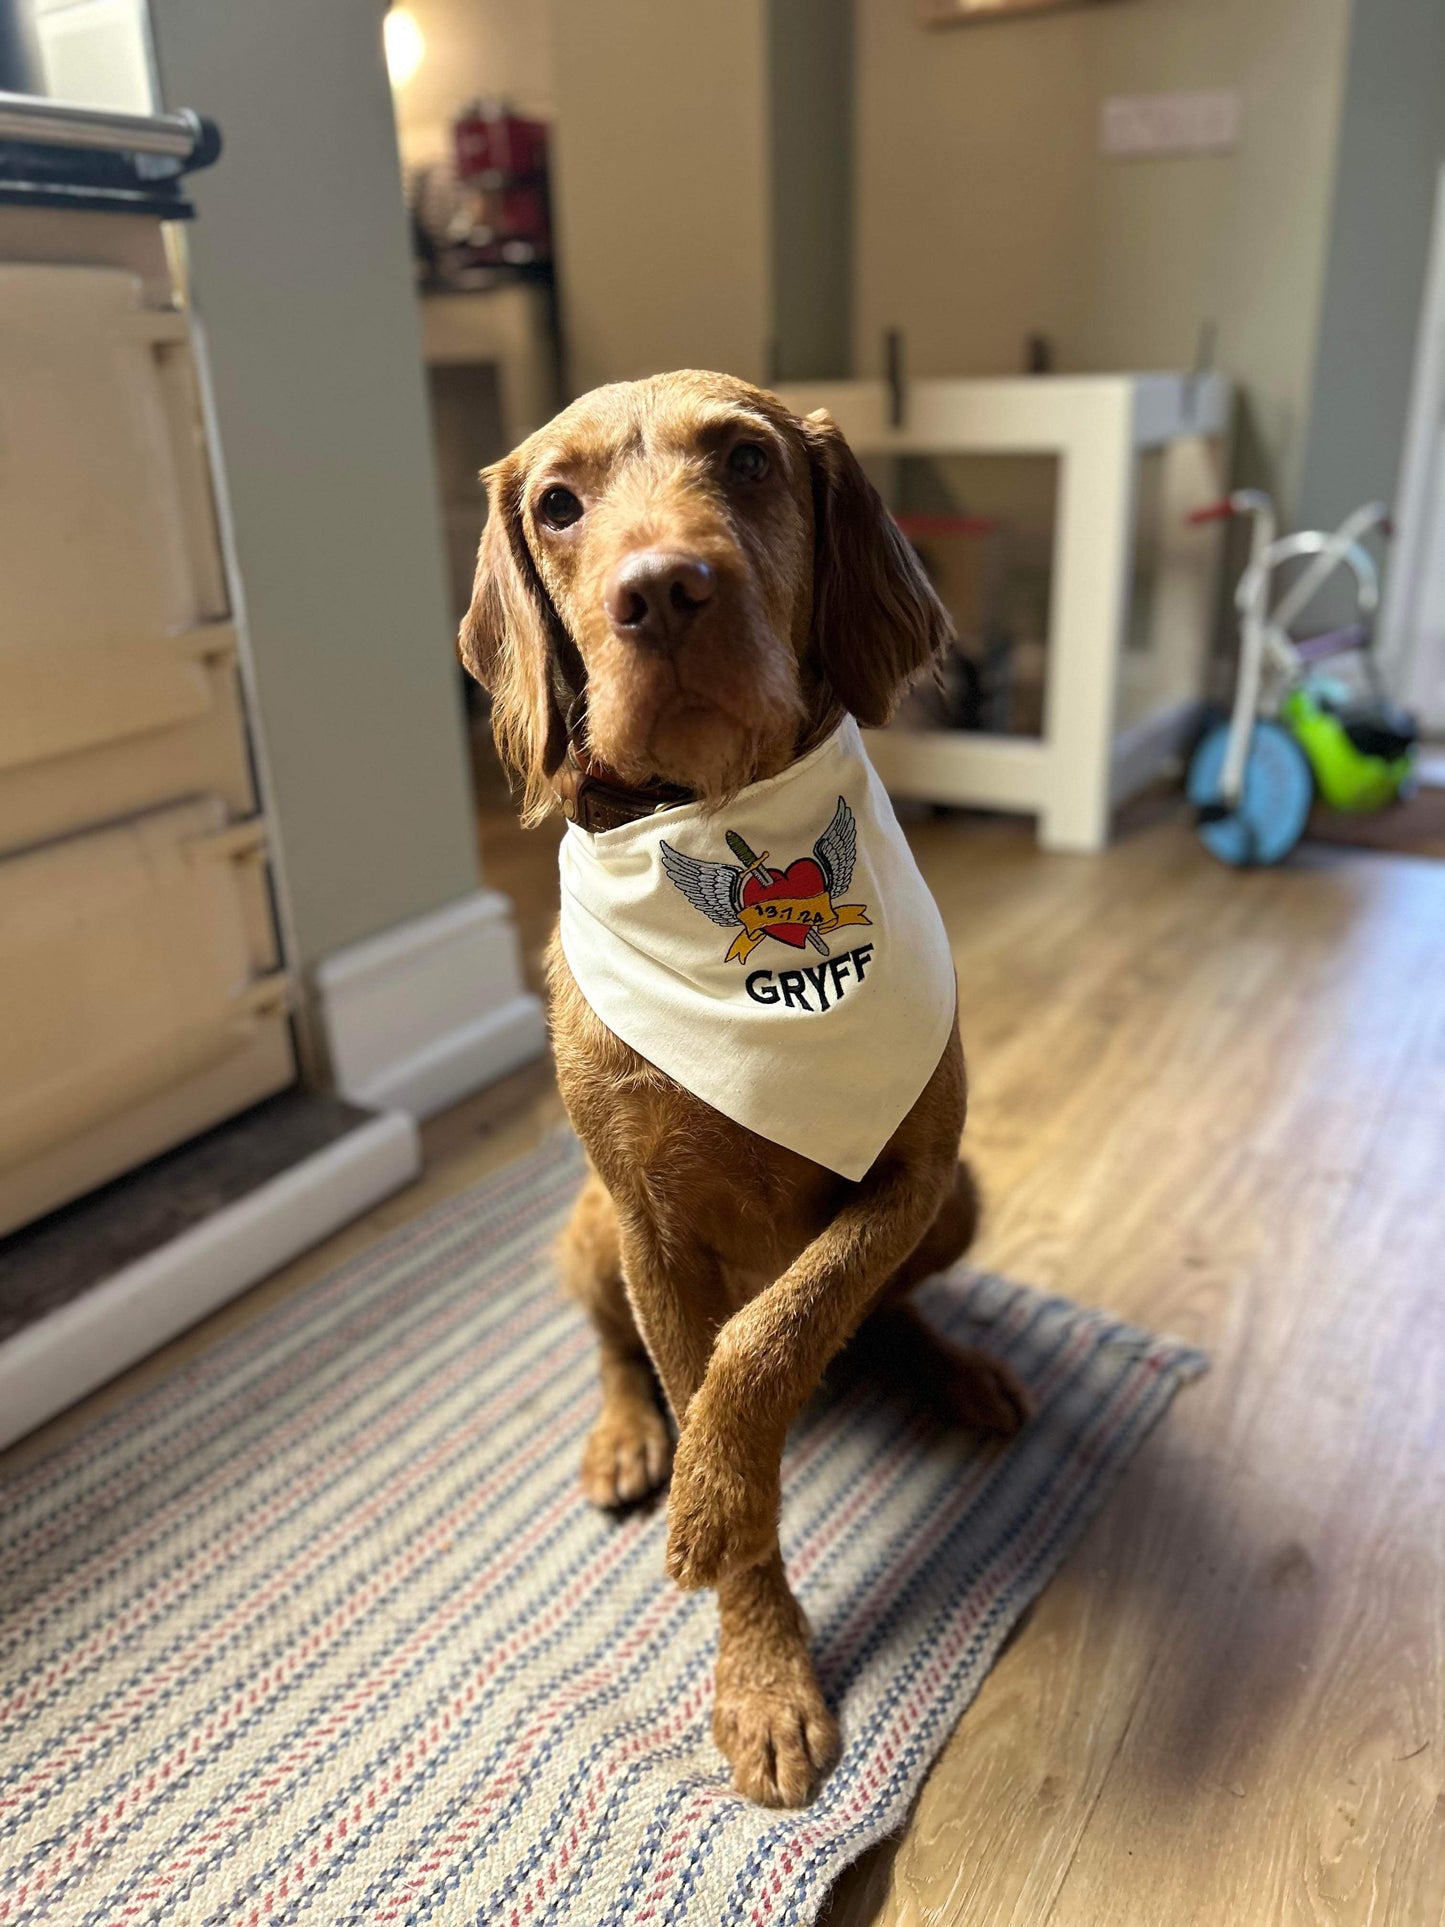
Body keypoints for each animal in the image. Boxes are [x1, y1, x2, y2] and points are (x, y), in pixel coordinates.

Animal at [464, 371, 1032, 1803]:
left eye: (745, 461)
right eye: (557, 505)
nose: (663, 591)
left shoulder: (911, 1173)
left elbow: (777, 1335)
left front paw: (717, 1493)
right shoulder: (652, 1232)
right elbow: (706, 1372)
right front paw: (759, 1663)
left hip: (961, 1203)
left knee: (889, 1310)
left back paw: (956, 1370)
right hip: (586, 1232)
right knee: (611, 1350)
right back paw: (625, 1438)